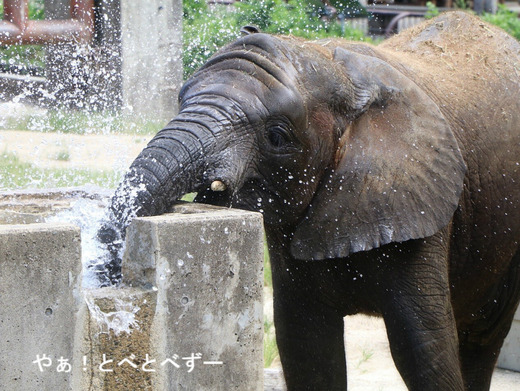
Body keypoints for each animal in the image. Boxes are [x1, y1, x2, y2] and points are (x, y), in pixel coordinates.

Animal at [97, 11, 520, 391]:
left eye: (278, 137)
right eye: (180, 100)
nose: (112, 272)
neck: (336, 65)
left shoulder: (418, 201)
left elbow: (423, 348)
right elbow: (306, 346)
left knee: (481, 335)